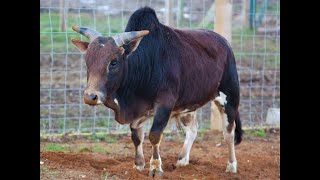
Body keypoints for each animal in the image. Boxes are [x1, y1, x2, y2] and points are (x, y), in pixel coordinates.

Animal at [71, 6, 244, 177]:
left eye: (113, 62)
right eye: (88, 61)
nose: (90, 96)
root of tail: (224, 43)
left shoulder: (165, 104)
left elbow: (154, 135)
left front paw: (155, 167)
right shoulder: (138, 112)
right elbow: (136, 137)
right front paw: (138, 165)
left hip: (230, 97)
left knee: (229, 133)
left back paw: (231, 166)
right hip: (188, 106)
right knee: (193, 130)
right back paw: (182, 160)